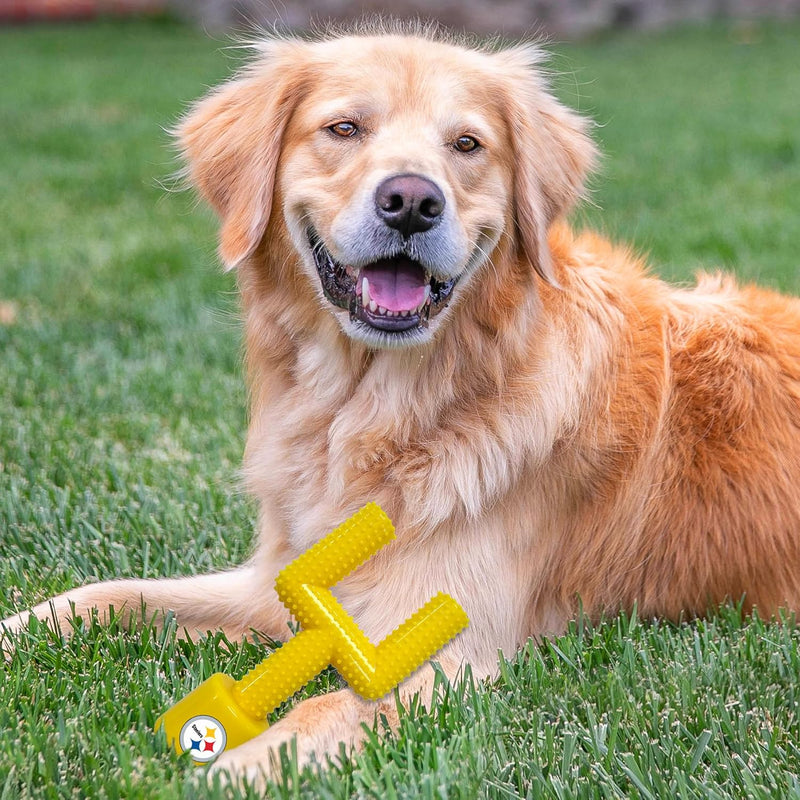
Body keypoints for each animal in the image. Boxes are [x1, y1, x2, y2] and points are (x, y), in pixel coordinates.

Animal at [4, 21, 800, 784]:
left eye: (467, 144)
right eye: (344, 129)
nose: (412, 201)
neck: (370, 411)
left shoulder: (445, 650)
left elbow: (322, 711)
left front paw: (227, 770)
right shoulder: (285, 585)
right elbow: (106, 595)